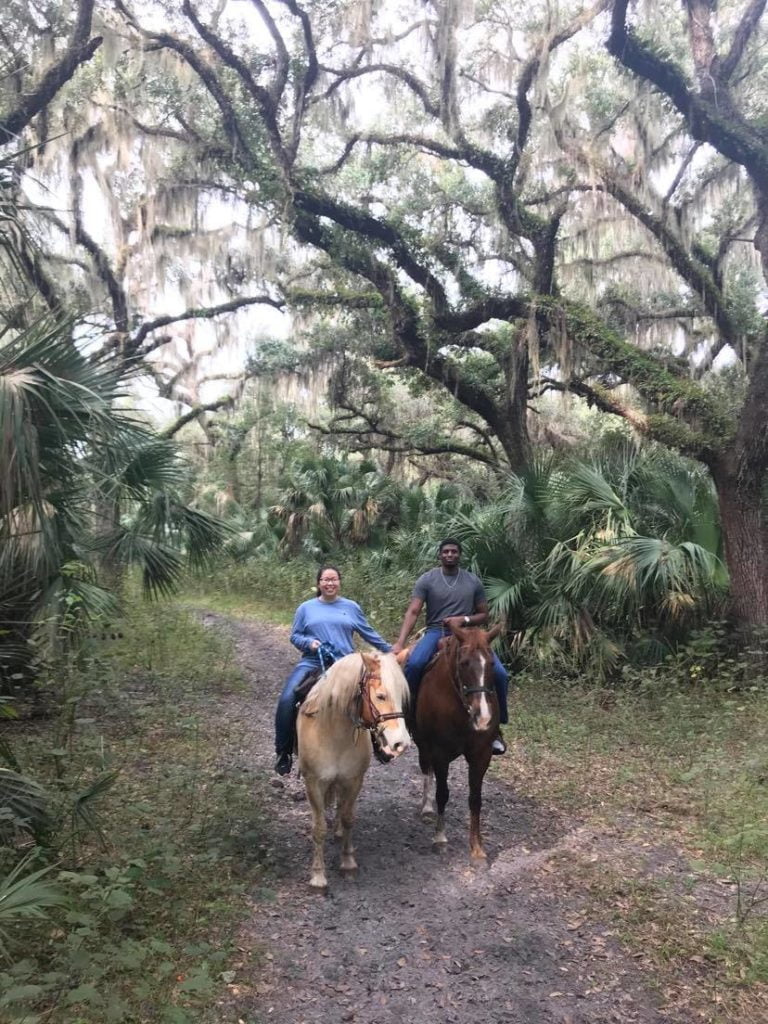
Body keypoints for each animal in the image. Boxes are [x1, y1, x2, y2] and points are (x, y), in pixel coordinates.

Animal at [296, 655, 415, 888]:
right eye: (380, 695)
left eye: (401, 696)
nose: (401, 744)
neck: (334, 735)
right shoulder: (313, 783)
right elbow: (319, 828)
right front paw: (318, 876)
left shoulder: (353, 780)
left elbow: (349, 818)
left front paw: (348, 863)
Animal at [415, 622, 505, 864]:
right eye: (464, 663)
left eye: (492, 664)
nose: (483, 717)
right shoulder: (440, 753)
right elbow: (442, 793)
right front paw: (440, 838)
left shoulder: (481, 755)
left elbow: (475, 799)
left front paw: (477, 849)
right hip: (423, 744)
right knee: (426, 768)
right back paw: (427, 808)